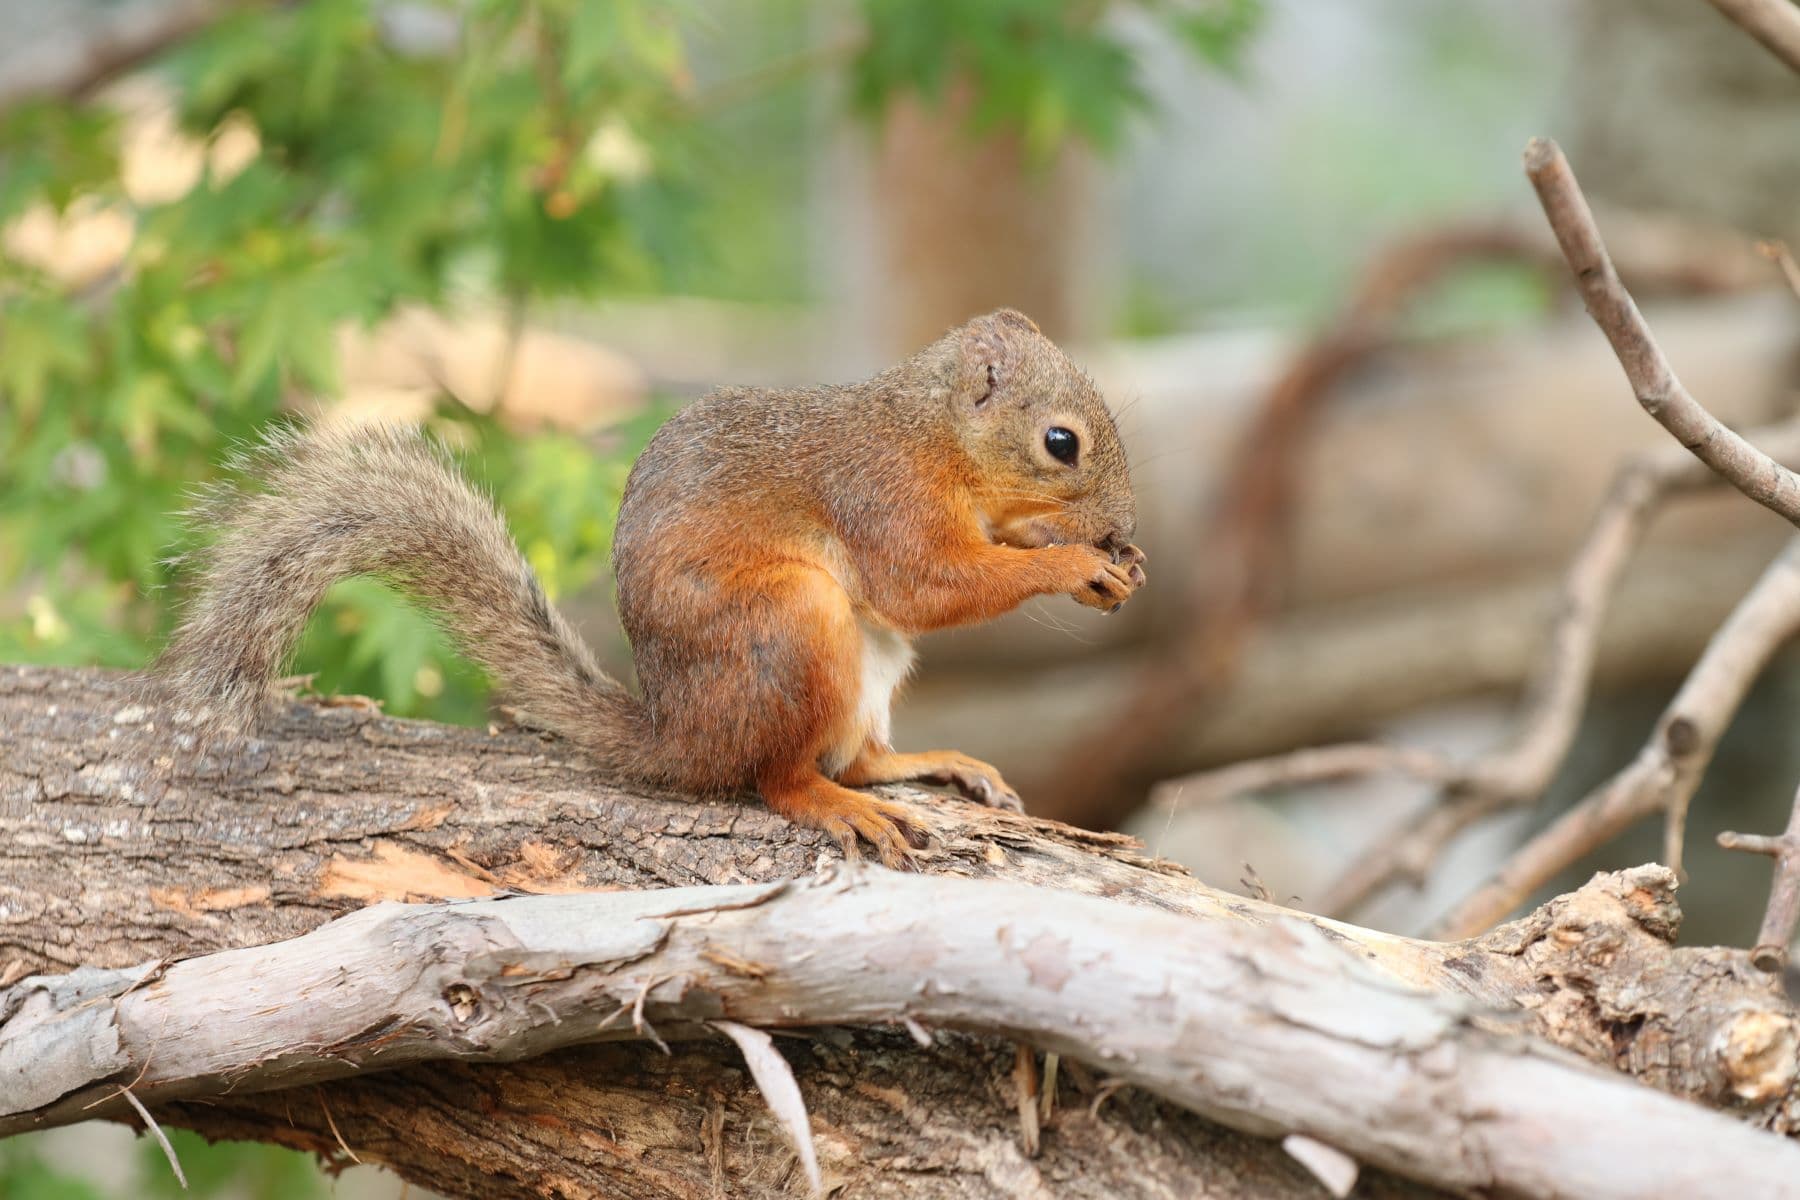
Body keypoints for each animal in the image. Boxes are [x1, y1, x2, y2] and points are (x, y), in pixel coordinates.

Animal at [151, 313, 1137, 863]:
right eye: (1061, 442)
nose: (1123, 522)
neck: (931, 433)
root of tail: (679, 734)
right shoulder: (882, 496)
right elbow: (930, 585)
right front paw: (1072, 561)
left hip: (866, 666)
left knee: (854, 755)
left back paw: (928, 764)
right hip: (796, 624)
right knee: (781, 778)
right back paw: (834, 805)